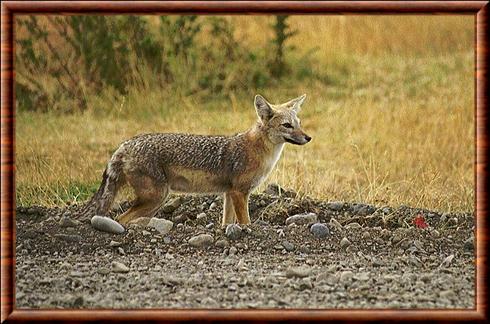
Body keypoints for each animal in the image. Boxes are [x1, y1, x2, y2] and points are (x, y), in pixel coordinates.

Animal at [87, 93, 310, 225]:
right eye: (287, 125)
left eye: (299, 123)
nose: (308, 138)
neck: (258, 150)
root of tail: (125, 144)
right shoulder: (239, 193)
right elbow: (245, 222)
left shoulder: (229, 194)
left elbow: (226, 223)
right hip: (156, 198)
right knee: (120, 218)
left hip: (154, 203)